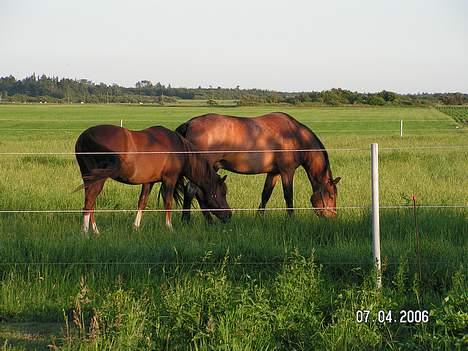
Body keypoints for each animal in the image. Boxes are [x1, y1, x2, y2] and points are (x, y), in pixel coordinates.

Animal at [74, 125, 232, 235]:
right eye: (223, 193)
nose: (229, 215)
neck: (177, 148)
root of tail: (84, 137)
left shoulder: (148, 182)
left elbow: (142, 202)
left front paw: (136, 227)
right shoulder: (169, 179)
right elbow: (168, 203)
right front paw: (169, 227)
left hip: (89, 178)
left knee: (90, 203)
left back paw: (95, 231)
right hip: (98, 179)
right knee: (89, 203)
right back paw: (85, 232)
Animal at [176, 112, 340, 223]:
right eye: (332, 195)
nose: (332, 216)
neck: (295, 135)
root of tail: (190, 123)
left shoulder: (273, 173)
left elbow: (265, 194)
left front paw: (259, 217)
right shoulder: (287, 171)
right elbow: (288, 196)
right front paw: (291, 219)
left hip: (211, 168)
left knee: (199, 192)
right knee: (191, 191)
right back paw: (188, 220)